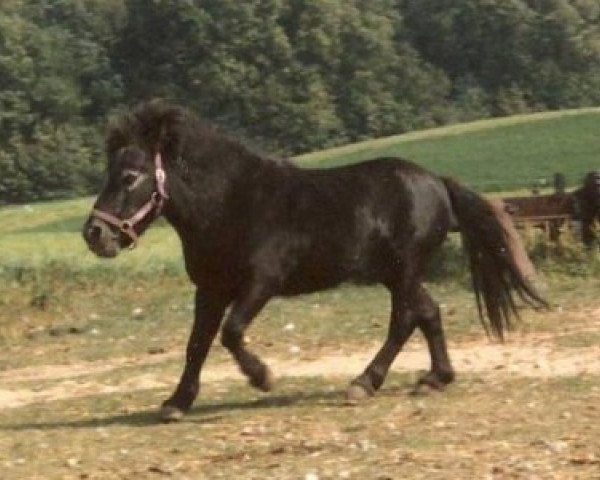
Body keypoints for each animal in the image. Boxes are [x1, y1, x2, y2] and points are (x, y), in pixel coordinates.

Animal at [84, 100, 548, 420]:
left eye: (129, 176)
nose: (94, 234)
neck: (232, 203)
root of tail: (437, 183)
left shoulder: (260, 283)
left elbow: (231, 333)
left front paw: (263, 377)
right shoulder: (210, 289)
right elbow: (196, 344)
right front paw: (176, 402)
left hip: (404, 270)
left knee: (405, 320)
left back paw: (364, 383)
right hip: (397, 274)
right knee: (428, 312)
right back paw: (435, 378)